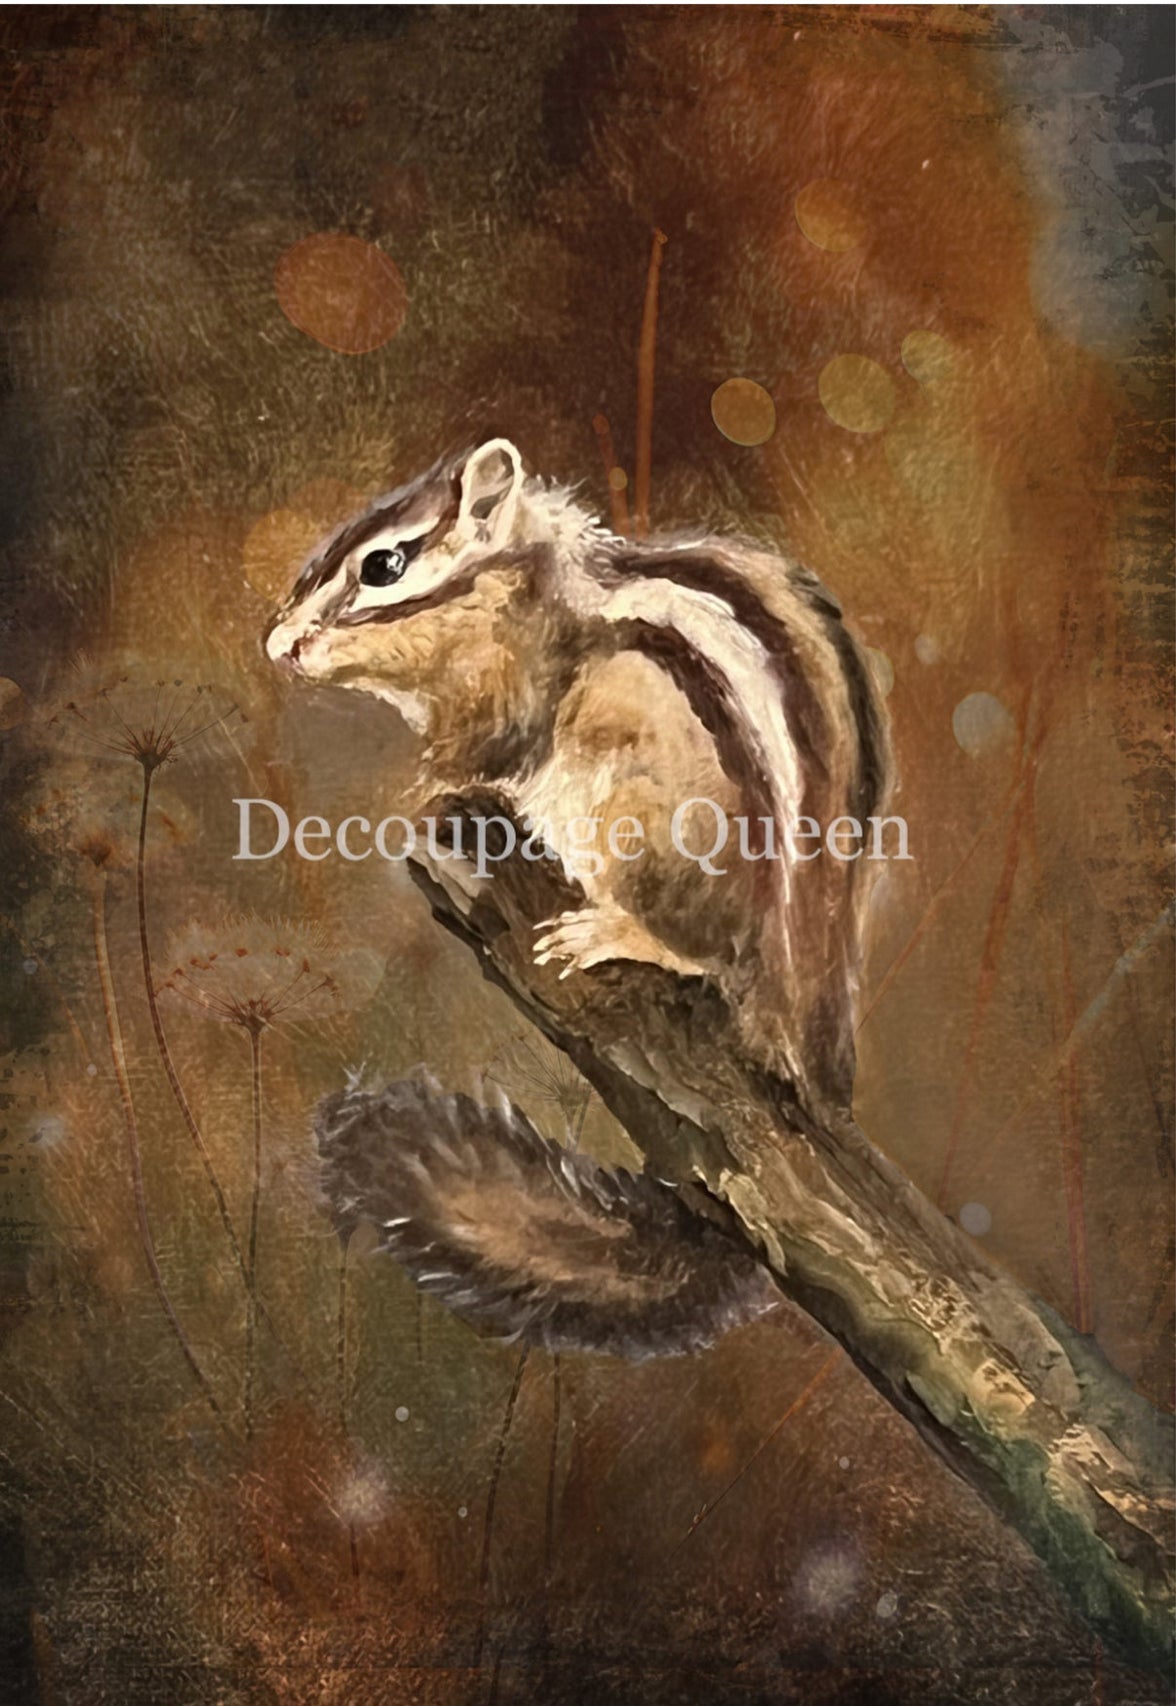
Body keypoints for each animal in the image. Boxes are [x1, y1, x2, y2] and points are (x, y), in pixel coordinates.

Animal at [264, 438, 889, 1358]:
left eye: (384, 565)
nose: (278, 644)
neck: (526, 582)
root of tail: (800, 1040)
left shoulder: (511, 694)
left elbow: (475, 753)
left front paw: (415, 791)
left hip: (640, 812)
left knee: (701, 953)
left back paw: (617, 933)